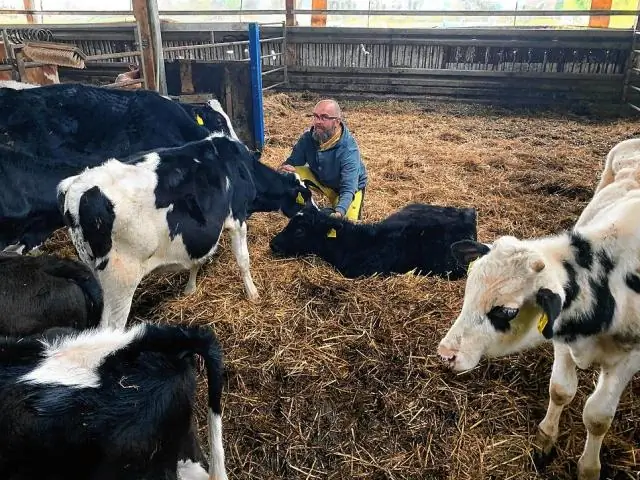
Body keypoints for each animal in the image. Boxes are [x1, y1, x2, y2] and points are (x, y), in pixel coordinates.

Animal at [438, 138, 640, 480]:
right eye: (468, 290)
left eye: (506, 311)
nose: (446, 354)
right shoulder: (561, 336)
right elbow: (560, 390)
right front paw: (546, 438)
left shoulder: (629, 358)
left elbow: (597, 416)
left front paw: (588, 467)